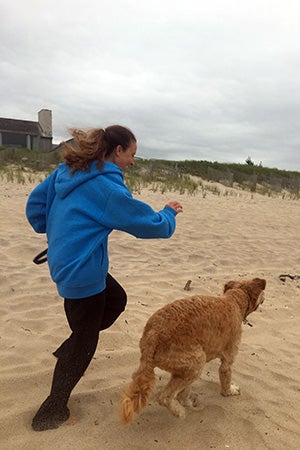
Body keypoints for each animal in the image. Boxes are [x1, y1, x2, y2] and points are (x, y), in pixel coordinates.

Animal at [118, 276, 266, 424]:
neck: (234, 300)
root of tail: (154, 335)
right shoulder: (227, 361)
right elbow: (226, 381)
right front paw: (230, 391)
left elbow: (184, 392)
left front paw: (186, 399)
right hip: (197, 363)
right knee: (164, 397)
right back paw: (179, 412)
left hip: (181, 365)